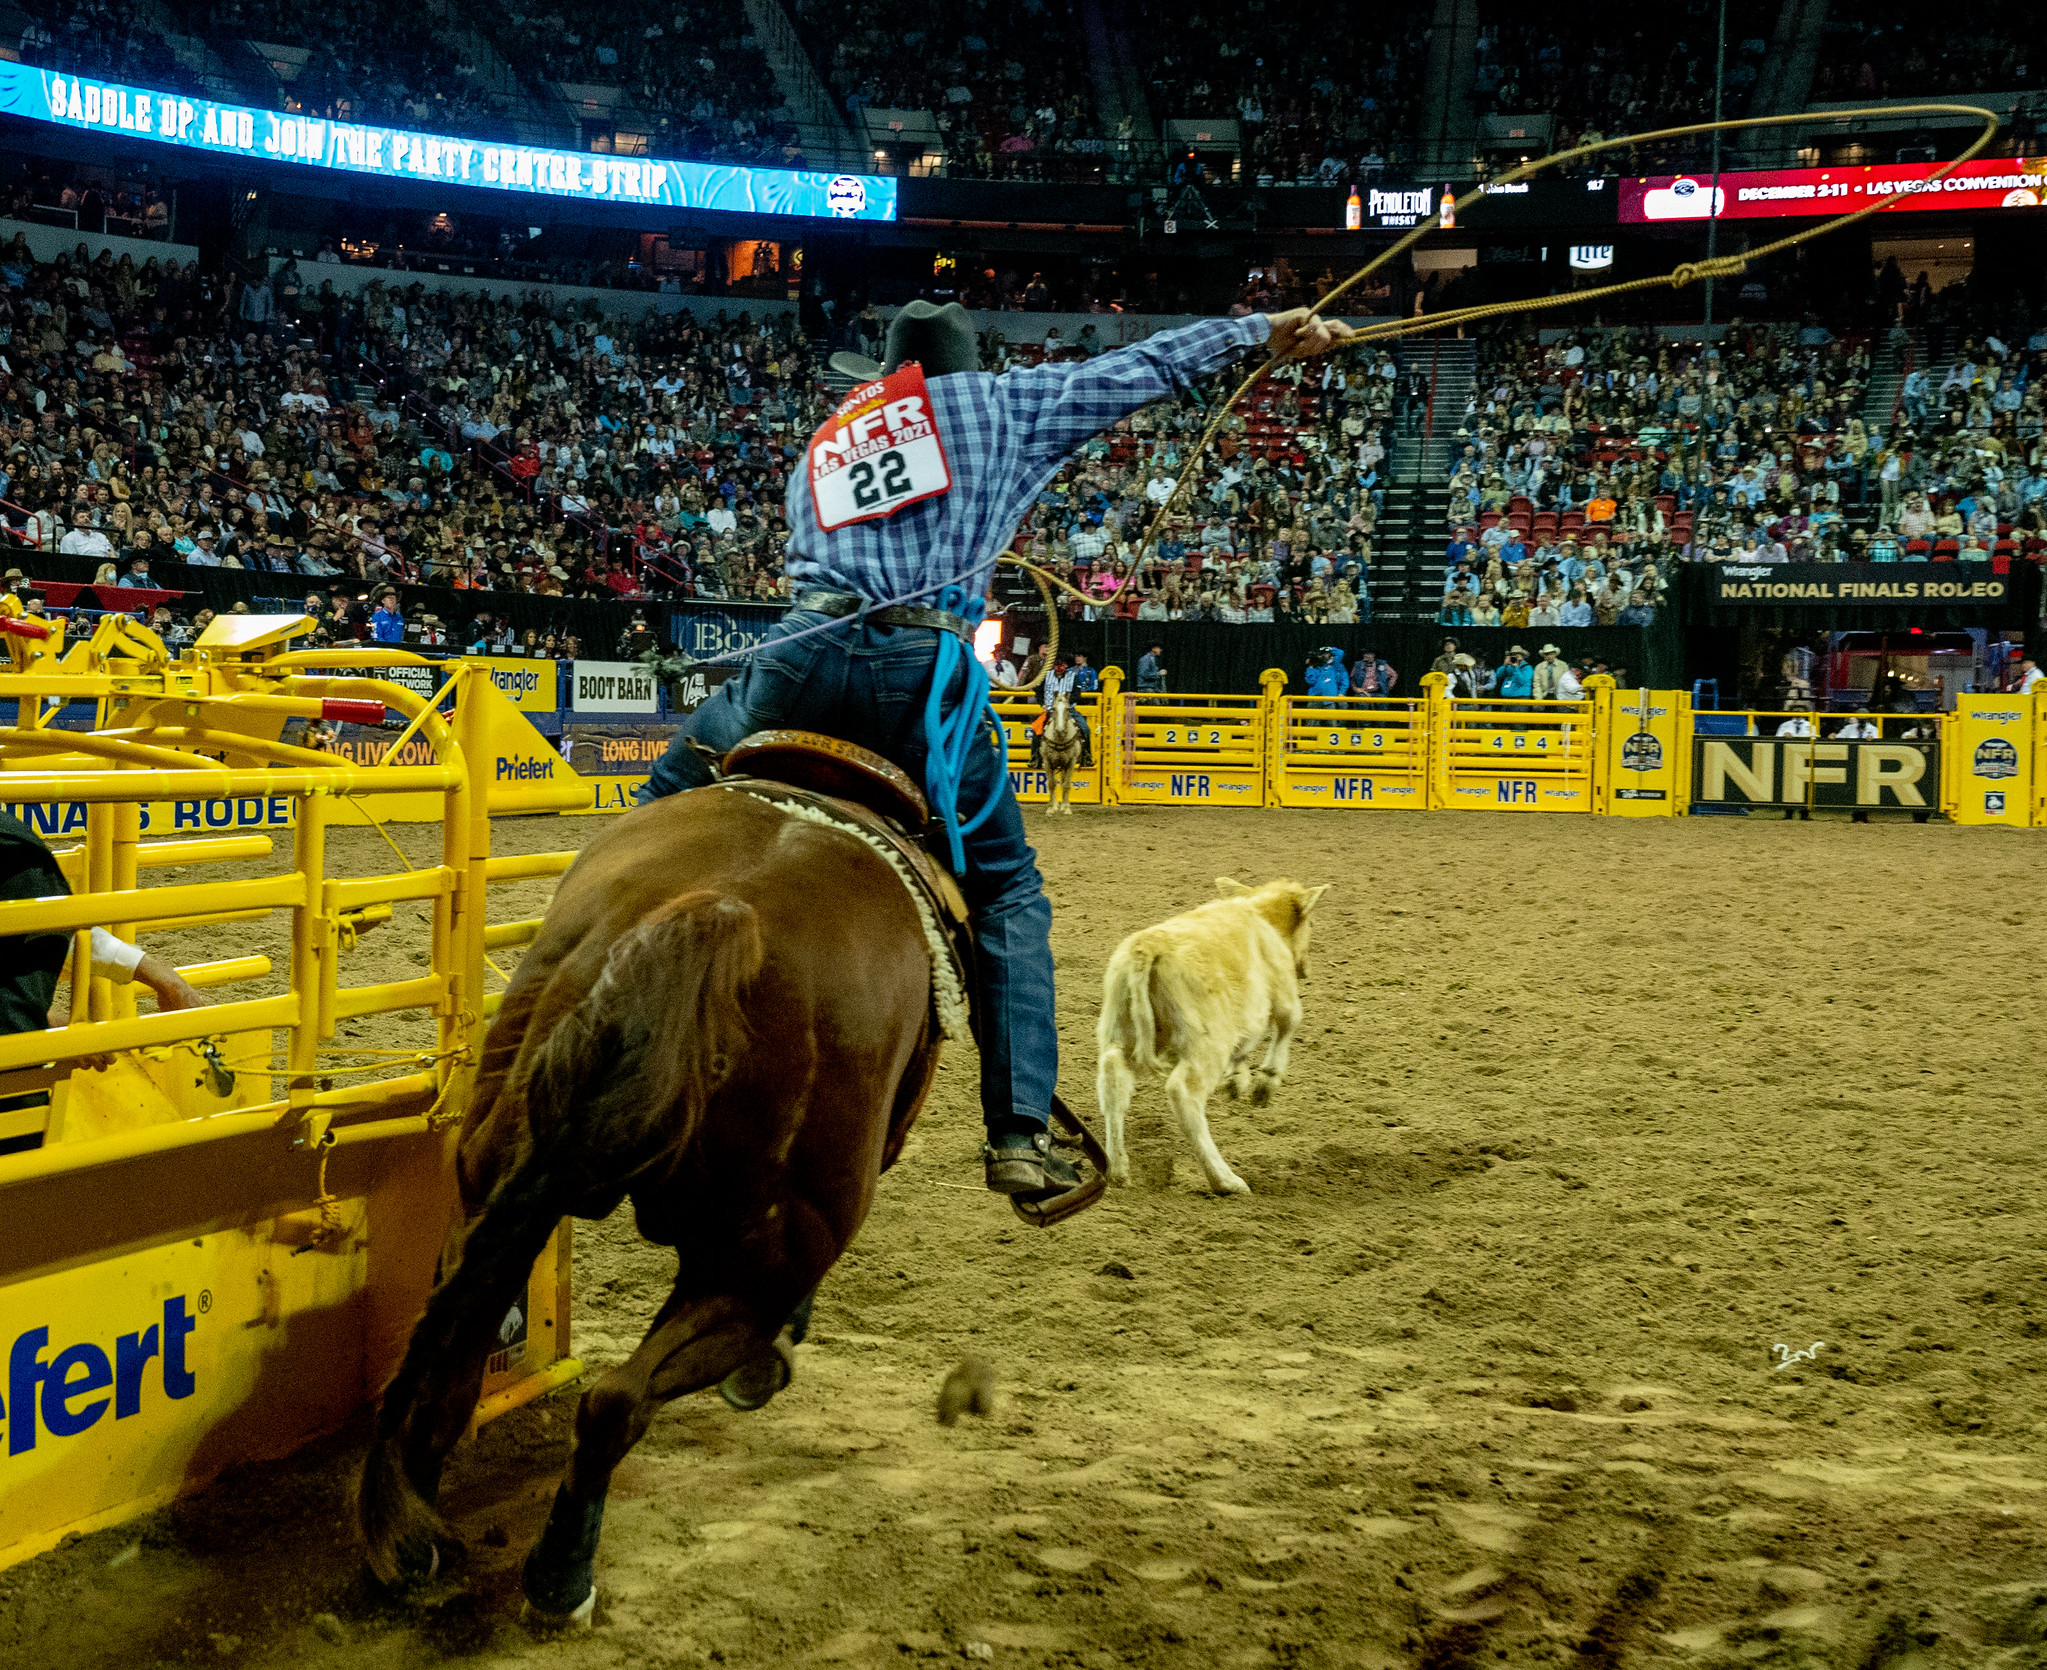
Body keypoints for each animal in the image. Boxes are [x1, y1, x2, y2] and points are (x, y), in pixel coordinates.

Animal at [353, 779, 947, 1625]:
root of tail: (723, 911)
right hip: (751, 1276)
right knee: (617, 1402)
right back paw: (561, 1575)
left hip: (497, 1187)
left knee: (453, 1371)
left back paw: (411, 1540)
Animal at [1094, 877, 1330, 1196]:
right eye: (1312, 922)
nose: (1306, 968)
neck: (1261, 917)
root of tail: (1147, 947)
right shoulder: (1284, 993)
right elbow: (1288, 1023)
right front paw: (1265, 1082)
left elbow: (1245, 1046)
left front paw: (1237, 1080)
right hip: (1207, 1044)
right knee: (1183, 1092)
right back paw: (1226, 1180)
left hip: (1118, 1031)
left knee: (1113, 1080)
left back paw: (1118, 1169)